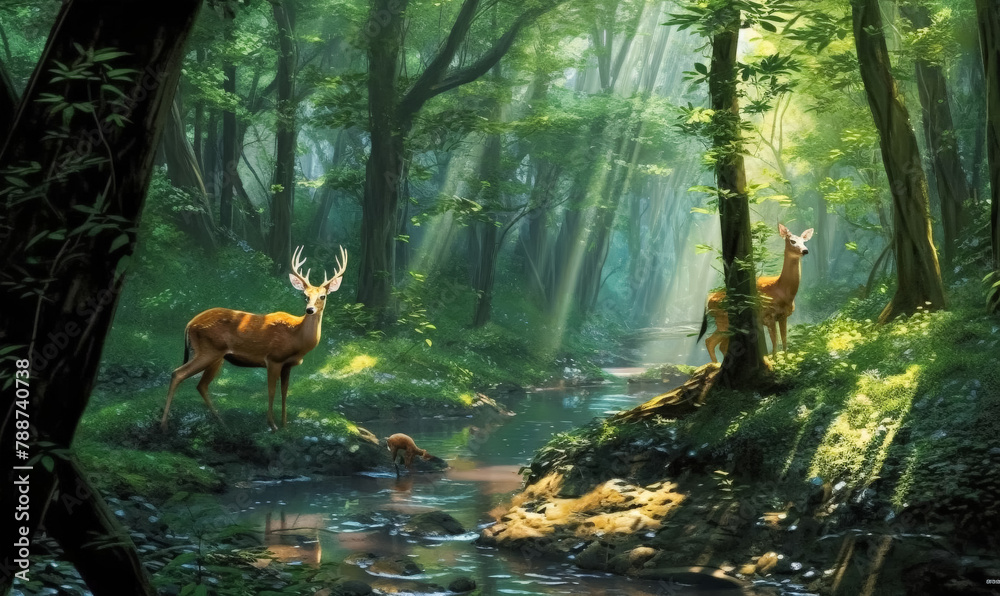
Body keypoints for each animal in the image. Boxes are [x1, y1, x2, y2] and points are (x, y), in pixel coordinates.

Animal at [160, 245, 348, 432]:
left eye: (323, 296)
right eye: (305, 295)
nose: (309, 309)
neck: (296, 336)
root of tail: (189, 324)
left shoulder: (287, 365)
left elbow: (284, 392)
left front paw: (285, 425)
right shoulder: (273, 359)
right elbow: (271, 390)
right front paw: (272, 425)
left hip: (216, 356)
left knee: (201, 385)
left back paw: (222, 422)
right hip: (208, 350)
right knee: (178, 374)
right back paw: (164, 424)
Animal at [697, 224, 813, 363]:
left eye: (804, 241)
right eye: (792, 241)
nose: (805, 250)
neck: (781, 289)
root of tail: (709, 298)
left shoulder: (783, 316)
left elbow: (784, 341)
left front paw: (786, 361)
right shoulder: (768, 316)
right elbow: (775, 343)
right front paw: (775, 362)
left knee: (719, 344)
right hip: (724, 320)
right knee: (711, 342)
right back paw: (716, 365)